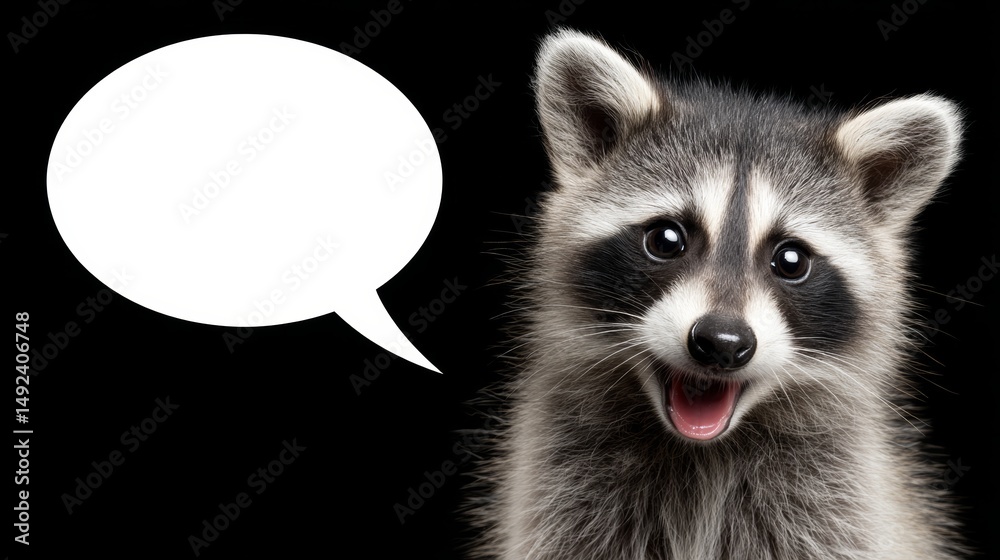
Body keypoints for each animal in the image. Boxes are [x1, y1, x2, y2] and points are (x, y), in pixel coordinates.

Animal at [469, 30, 966, 559]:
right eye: (667, 240)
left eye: (791, 261)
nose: (722, 343)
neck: (701, 449)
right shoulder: (564, 490)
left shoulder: (835, 504)